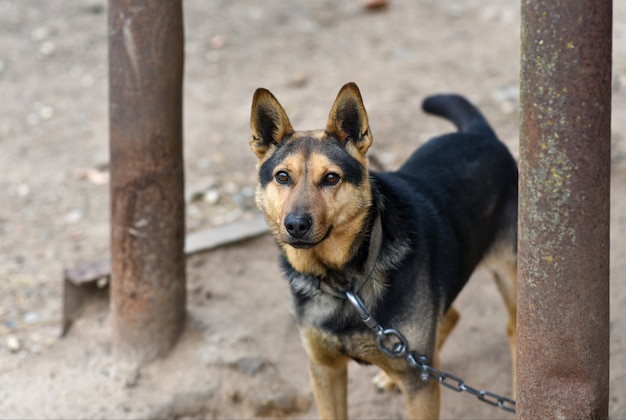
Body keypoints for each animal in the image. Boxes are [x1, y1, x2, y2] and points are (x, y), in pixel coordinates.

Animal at [249, 83, 516, 420]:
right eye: (282, 176)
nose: (296, 224)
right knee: (447, 323)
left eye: (331, 178)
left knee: (513, 329)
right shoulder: (324, 369)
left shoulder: (419, 388)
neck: (345, 282)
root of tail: (479, 133)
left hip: (512, 277)